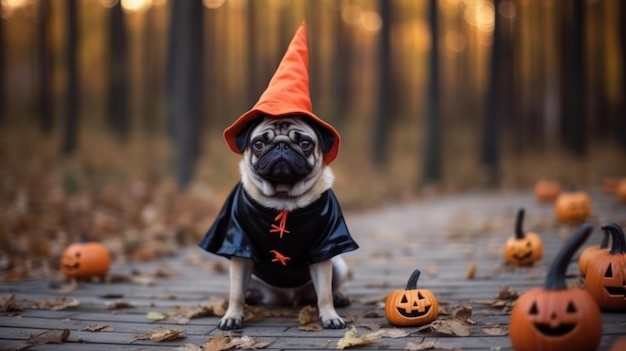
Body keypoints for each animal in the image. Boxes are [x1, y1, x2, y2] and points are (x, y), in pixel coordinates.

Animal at [197, 117, 358, 332]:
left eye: (305, 143)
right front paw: (232, 316)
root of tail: (288, 297)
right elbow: (236, 293)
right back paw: (252, 297)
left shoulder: (323, 248)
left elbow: (325, 294)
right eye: (258, 144)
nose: (281, 146)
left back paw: (339, 296)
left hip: (338, 266)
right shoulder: (240, 247)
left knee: (328, 289)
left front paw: (331, 317)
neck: (283, 199)